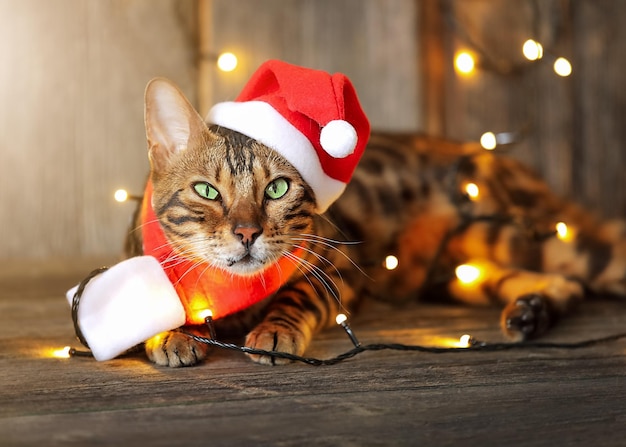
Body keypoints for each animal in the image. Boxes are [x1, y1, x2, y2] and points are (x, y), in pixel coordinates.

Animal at [127, 77, 624, 366]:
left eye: (277, 189)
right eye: (208, 191)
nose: (248, 232)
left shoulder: (336, 271)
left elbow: (294, 297)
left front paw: (273, 329)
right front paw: (171, 331)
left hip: (519, 234)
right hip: (457, 271)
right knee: (561, 285)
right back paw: (531, 312)